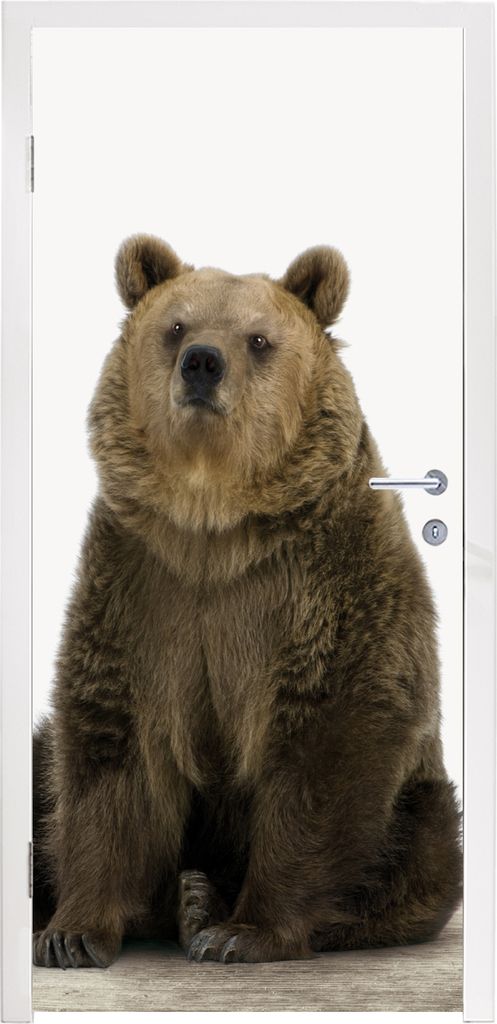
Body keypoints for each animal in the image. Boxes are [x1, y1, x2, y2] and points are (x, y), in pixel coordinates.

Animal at [33, 234, 462, 970]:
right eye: (176, 326)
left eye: (258, 339)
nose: (202, 362)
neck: (214, 525)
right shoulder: (141, 586)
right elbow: (109, 745)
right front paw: (71, 932)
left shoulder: (324, 585)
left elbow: (326, 745)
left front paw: (245, 930)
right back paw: (180, 898)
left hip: (419, 804)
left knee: (419, 849)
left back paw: (208, 904)